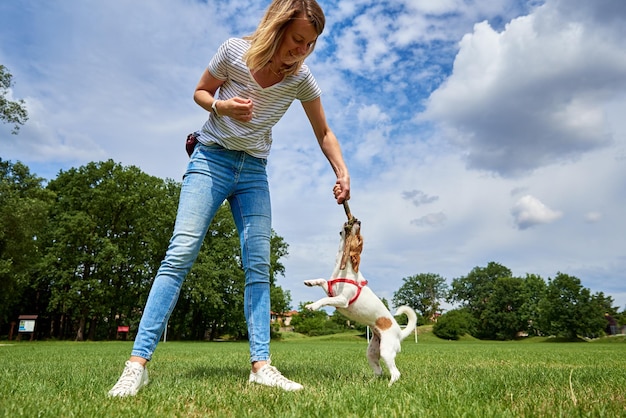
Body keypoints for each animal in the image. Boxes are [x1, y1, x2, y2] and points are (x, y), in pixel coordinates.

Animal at [302, 217, 414, 386]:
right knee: (379, 371)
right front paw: (310, 282)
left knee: (395, 373)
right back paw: (370, 384)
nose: (358, 221)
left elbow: (325, 299)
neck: (343, 269)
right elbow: (322, 281)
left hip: (386, 351)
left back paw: (388, 386)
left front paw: (312, 306)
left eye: (360, 238)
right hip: (372, 352)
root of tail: (399, 333)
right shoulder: (331, 289)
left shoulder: (342, 299)